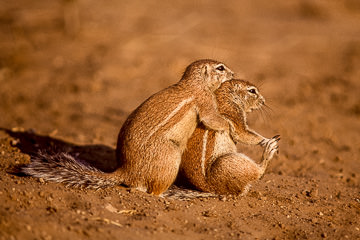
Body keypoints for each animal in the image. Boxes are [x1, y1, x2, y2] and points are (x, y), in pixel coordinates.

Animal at [21, 59, 235, 195]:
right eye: (220, 68)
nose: (234, 73)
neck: (195, 83)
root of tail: (126, 170)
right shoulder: (205, 101)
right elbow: (212, 119)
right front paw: (230, 127)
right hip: (170, 157)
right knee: (150, 190)